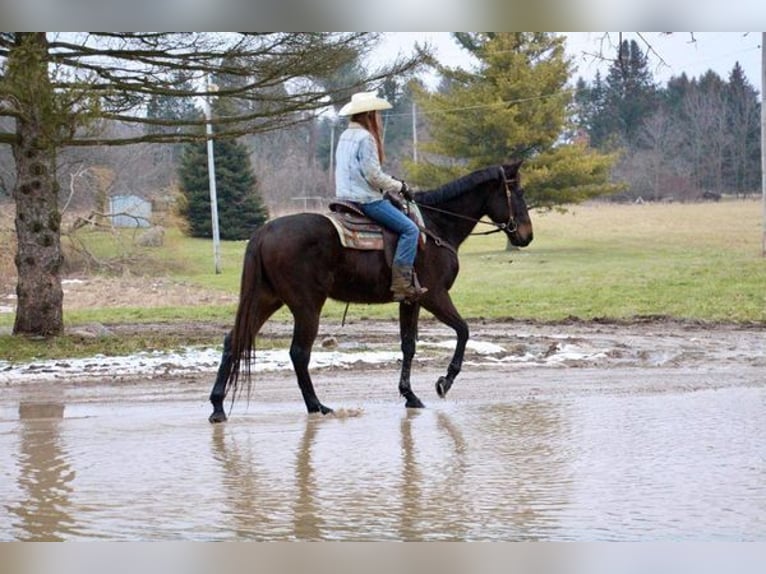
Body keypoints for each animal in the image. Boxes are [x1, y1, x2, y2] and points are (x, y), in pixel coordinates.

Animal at [210, 162, 536, 424]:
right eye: (518, 192)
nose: (526, 235)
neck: (434, 228)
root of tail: (264, 233)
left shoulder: (411, 299)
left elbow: (408, 345)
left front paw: (410, 395)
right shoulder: (434, 296)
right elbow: (463, 330)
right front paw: (444, 382)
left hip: (266, 299)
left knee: (233, 341)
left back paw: (218, 407)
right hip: (306, 306)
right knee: (299, 353)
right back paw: (317, 406)